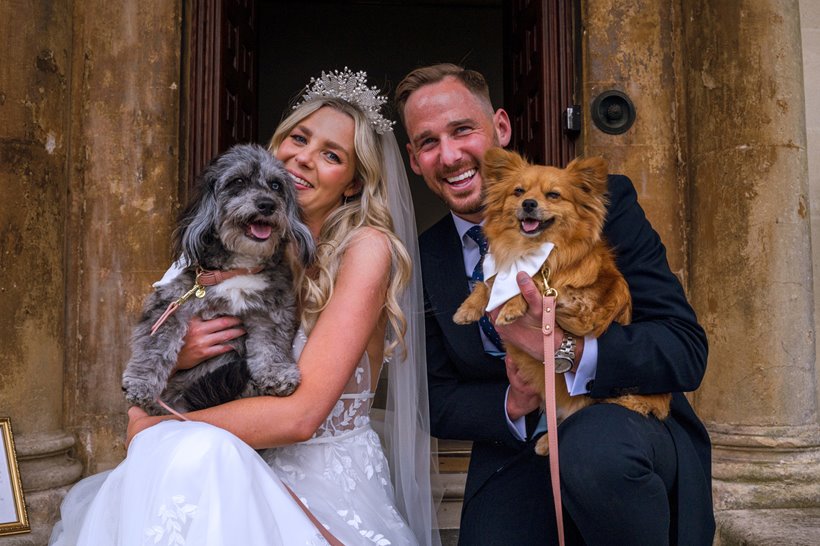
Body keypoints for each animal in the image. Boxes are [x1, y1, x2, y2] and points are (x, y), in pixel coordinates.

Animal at [121, 142, 314, 414]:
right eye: (238, 181)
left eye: (276, 185)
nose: (267, 204)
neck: (238, 268)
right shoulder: (169, 304)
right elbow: (155, 343)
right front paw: (140, 384)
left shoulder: (271, 312)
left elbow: (271, 344)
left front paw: (278, 374)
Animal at [452, 147, 668, 452]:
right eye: (518, 191)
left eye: (553, 195)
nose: (529, 203)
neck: (530, 249)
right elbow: (489, 283)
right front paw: (468, 308)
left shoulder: (585, 302)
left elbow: (531, 283)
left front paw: (513, 304)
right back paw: (546, 442)